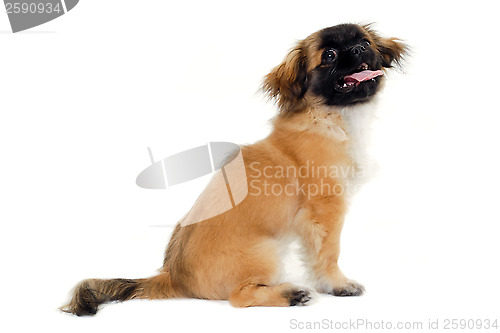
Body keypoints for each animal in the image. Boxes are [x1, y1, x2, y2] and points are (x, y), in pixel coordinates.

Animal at [63, 23, 406, 314]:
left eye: (365, 43)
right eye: (330, 56)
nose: (359, 50)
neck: (330, 118)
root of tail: (173, 276)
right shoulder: (327, 210)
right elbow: (329, 253)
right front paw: (337, 285)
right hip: (266, 252)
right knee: (239, 297)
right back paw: (290, 294)